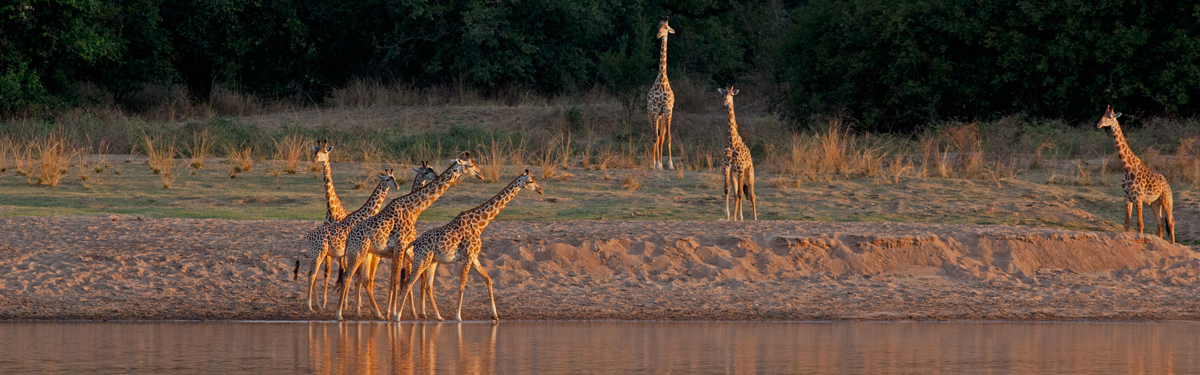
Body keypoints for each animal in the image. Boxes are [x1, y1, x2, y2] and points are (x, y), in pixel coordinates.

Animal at [292, 169, 400, 310]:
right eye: (387, 179)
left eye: (395, 178)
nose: (397, 185)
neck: (362, 216)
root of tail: (307, 236)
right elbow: (354, 276)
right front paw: (350, 304)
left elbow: (352, 276)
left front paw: (349, 303)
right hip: (319, 254)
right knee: (312, 275)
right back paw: (310, 305)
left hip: (318, 255)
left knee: (313, 275)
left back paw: (318, 304)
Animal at [333, 153, 482, 319]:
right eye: (470, 165)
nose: (480, 175)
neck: (413, 209)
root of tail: (348, 237)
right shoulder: (401, 245)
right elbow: (397, 280)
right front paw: (393, 313)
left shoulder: (402, 249)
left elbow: (398, 279)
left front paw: (396, 312)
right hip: (358, 252)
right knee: (349, 276)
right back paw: (340, 314)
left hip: (366, 254)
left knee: (362, 278)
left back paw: (372, 312)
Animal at [393, 169, 544, 322]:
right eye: (530, 181)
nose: (541, 190)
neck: (480, 224)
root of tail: (415, 242)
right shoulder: (467, 257)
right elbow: (462, 286)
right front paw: (458, 317)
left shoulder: (474, 257)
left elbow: (488, 280)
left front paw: (495, 315)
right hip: (422, 259)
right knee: (408, 283)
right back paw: (398, 316)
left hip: (432, 261)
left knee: (428, 286)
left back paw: (439, 316)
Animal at [715, 86, 753, 221]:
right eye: (723, 94)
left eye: (731, 95)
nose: (725, 102)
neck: (732, 143)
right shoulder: (726, 167)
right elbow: (728, 190)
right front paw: (728, 215)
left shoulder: (741, 169)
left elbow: (741, 194)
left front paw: (740, 216)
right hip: (734, 174)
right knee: (736, 193)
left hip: (748, 172)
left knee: (751, 194)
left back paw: (753, 218)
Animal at [1099, 105, 1171, 242]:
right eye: (1102, 115)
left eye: (1110, 117)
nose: (1098, 124)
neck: (1128, 169)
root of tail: (1167, 183)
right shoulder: (1127, 197)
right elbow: (1126, 223)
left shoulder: (1138, 197)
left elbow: (1140, 224)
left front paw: (1139, 240)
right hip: (1154, 203)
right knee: (1160, 222)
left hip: (1166, 200)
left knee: (1171, 222)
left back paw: (1173, 244)